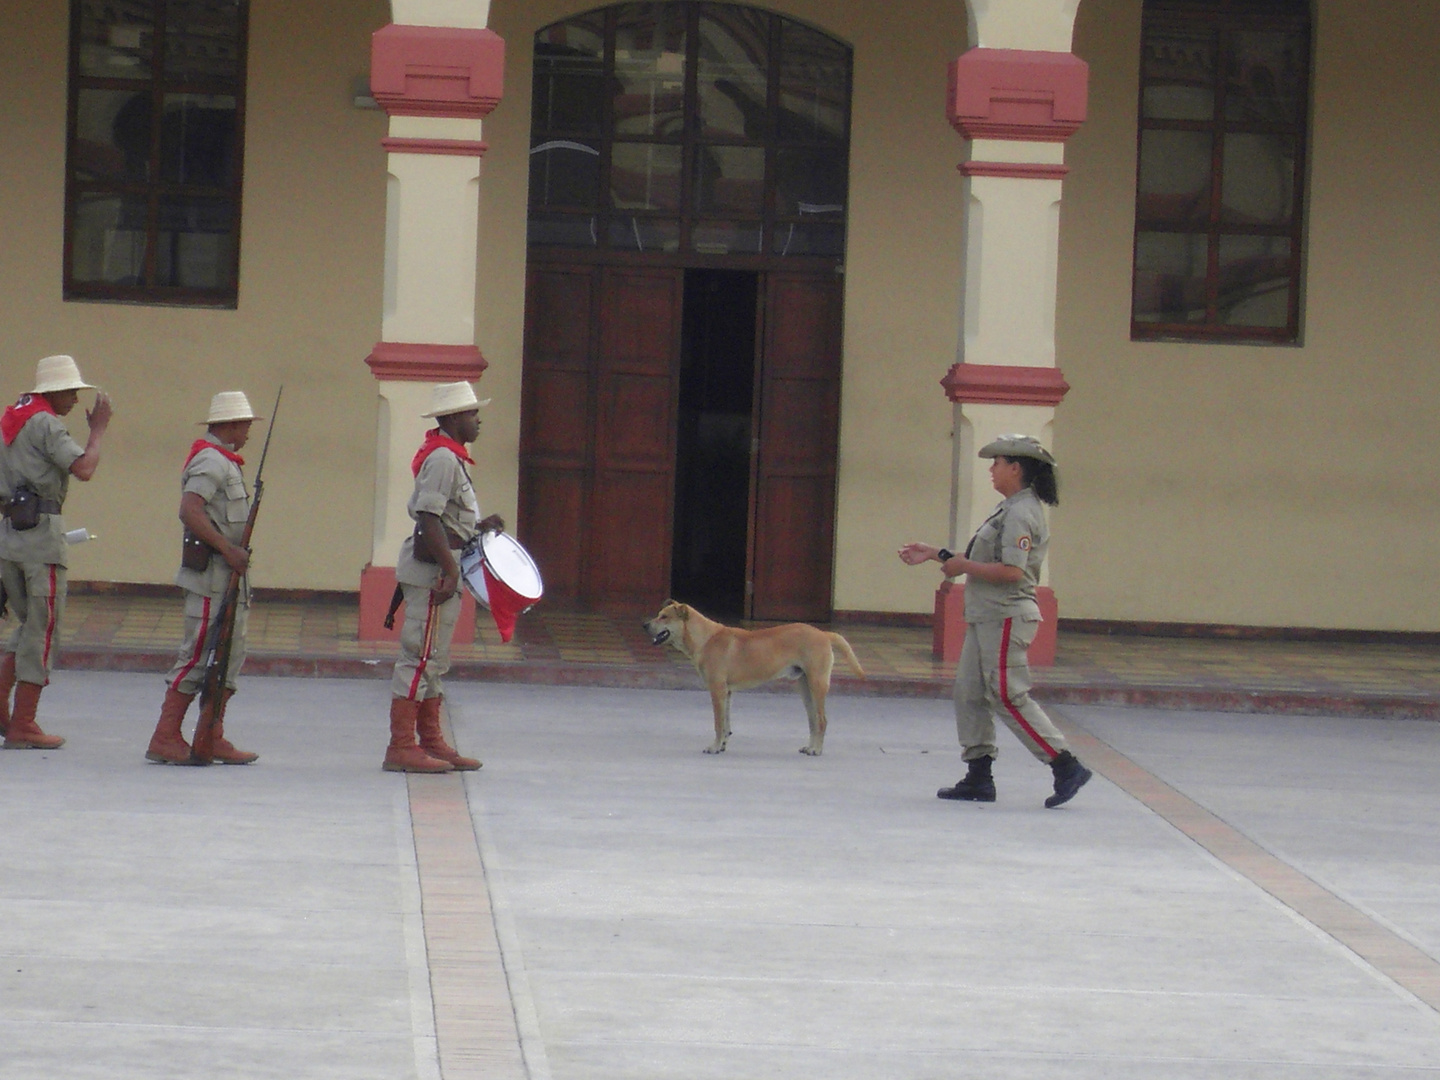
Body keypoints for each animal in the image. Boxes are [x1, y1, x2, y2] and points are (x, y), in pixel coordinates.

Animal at [645, 601, 864, 760]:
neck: (705, 638)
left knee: (822, 720)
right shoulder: (727, 692)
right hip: (805, 687)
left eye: (664, 616)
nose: (644, 625)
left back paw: (816, 750)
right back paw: (810, 747)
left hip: (817, 684)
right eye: (659, 614)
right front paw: (722, 745)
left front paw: (714, 747)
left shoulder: (717, 690)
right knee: (813, 721)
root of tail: (824, 634)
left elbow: (718, 723)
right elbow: (726, 724)